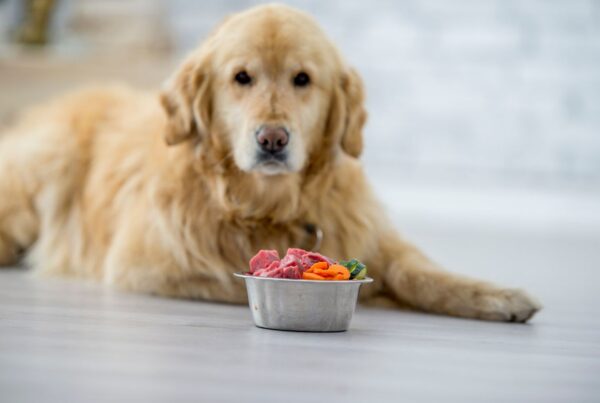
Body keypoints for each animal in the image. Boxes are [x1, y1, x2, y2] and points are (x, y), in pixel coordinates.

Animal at [0, 4, 540, 322]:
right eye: (242, 77)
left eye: (303, 79)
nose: (273, 139)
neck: (268, 205)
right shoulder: (146, 266)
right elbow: (237, 281)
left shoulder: (369, 232)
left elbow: (418, 270)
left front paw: (497, 295)